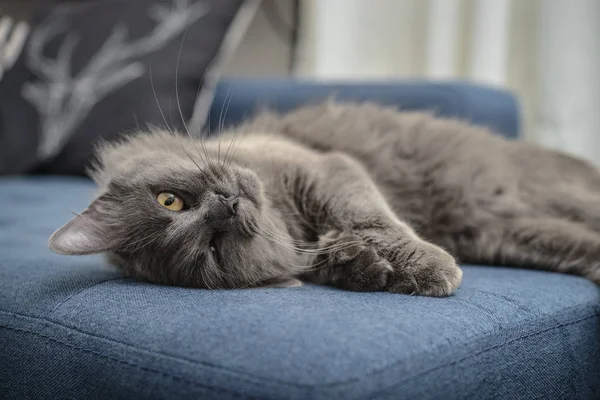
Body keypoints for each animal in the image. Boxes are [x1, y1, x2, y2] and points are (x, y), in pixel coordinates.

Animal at [48, 102, 600, 296]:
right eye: (213, 250)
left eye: (169, 201)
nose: (227, 206)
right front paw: (363, 266)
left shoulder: (323, 168)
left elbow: (368, 215)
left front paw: (422, 265)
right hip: (501, 230)